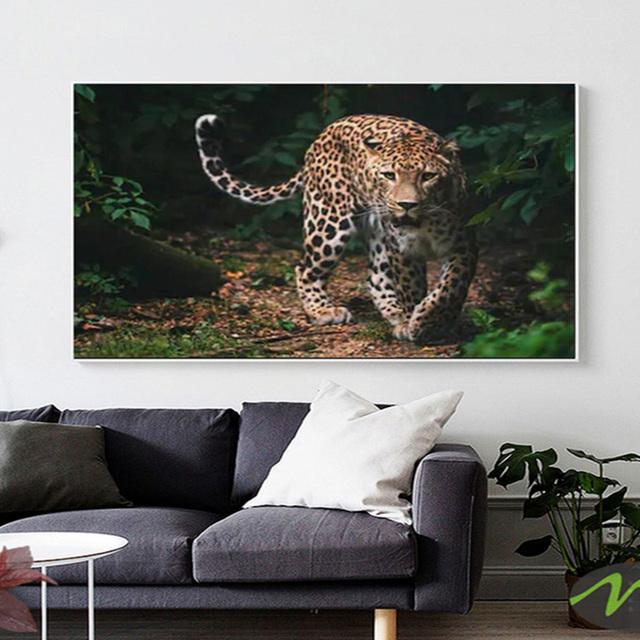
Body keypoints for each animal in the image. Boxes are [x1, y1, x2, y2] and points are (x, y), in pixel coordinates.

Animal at [195, 113, 477, 343]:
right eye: (389, 175)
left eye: (428, 176)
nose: (406, 205)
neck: (425, 223)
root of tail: (324, 132)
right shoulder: (402, 249)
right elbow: (412, 288)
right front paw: (414, 324)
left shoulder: (464, 242)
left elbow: (452, 286)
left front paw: (433, 321)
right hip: (329, 223)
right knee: (305, 268)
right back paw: (324, 311)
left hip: (375, 232)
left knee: (375, 276)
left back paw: (393, 313)